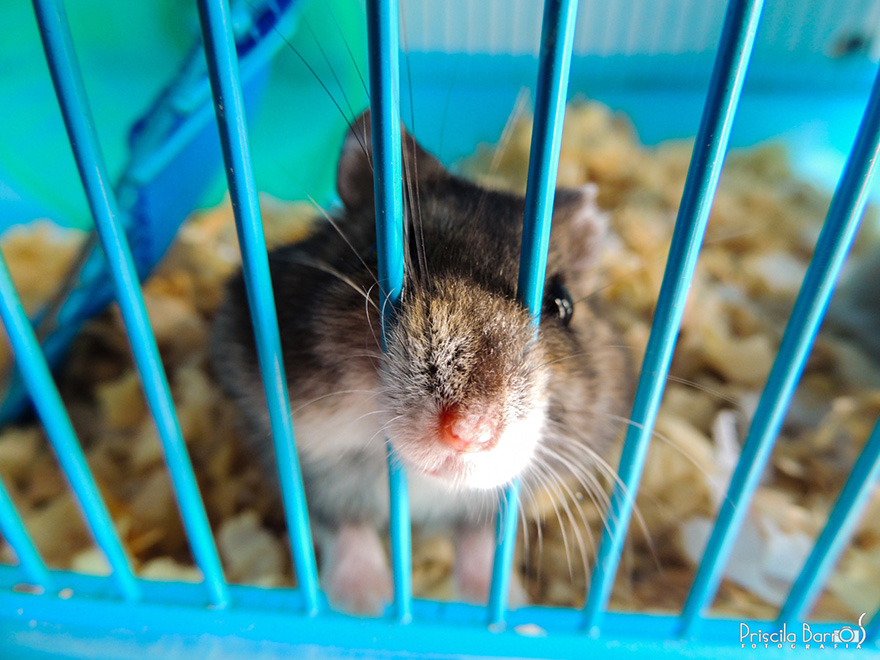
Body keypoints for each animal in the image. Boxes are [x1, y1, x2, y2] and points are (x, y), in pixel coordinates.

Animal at [210, 111, 630, 613]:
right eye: (383, 265)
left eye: (563, 304)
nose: (469, 432)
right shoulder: (304, 458)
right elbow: (343, 525)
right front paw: (366, 604)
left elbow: (480, 544)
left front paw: (508, 611)